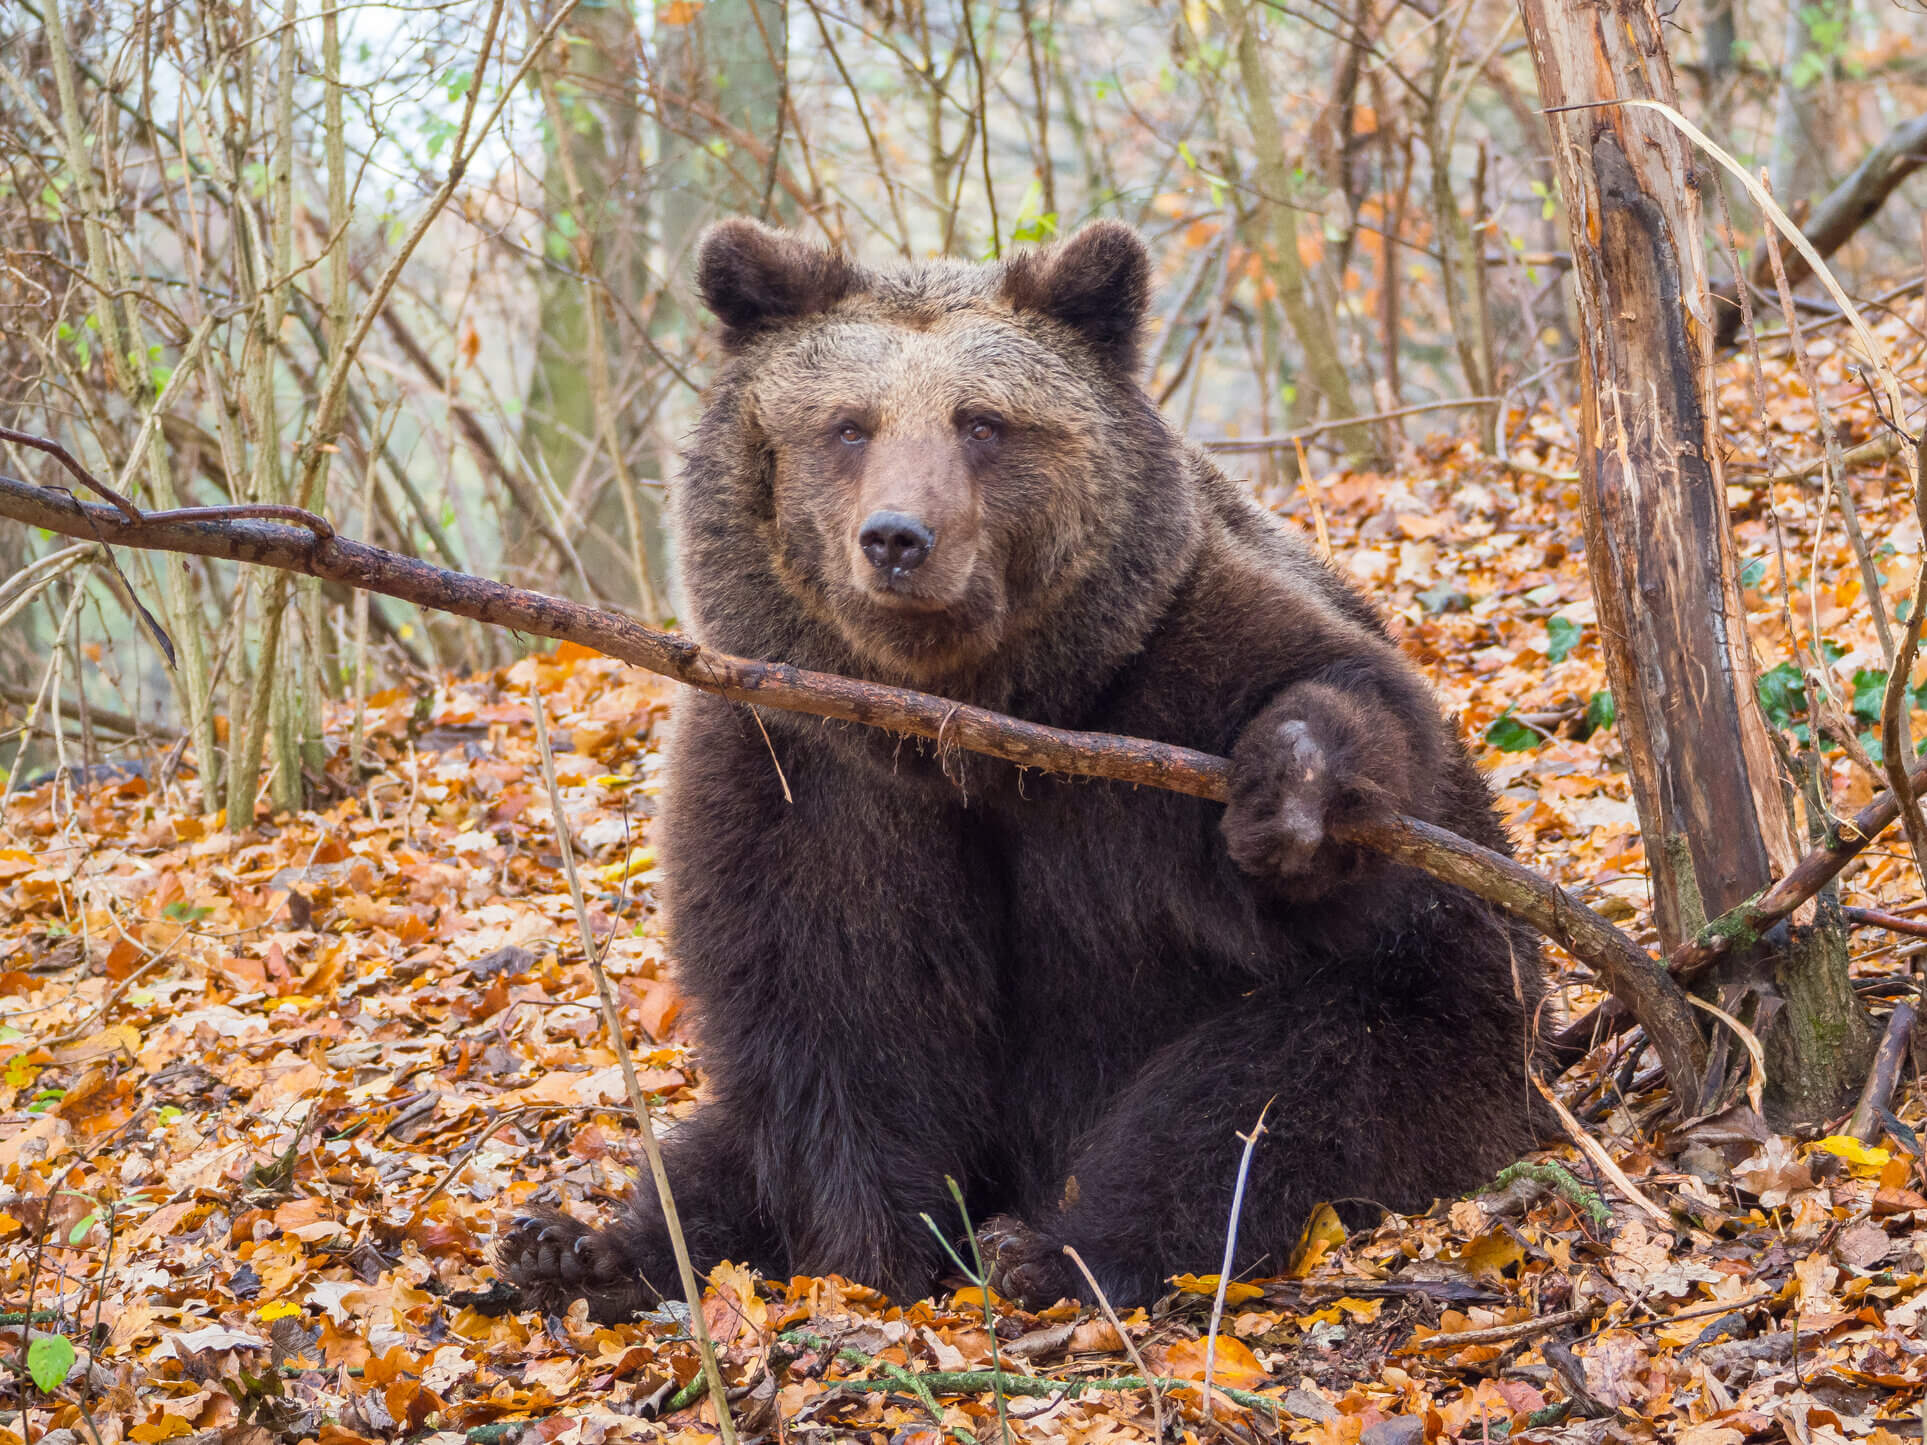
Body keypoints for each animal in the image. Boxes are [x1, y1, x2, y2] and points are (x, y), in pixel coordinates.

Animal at [501, 217, 1549, 1325]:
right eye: (847, 425)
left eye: (982, 422)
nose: (897, 538)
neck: (963, 721)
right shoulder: (797, 763)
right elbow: (836, 1016)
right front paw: (869, 1253)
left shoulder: (1157, 684)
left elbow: (1336, 709)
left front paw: (1291, 800)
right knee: (718, 1145)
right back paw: (575, 1246)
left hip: (1441, 1027)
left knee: (1270, 1093)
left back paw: (1058, 1247)